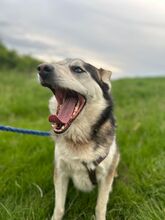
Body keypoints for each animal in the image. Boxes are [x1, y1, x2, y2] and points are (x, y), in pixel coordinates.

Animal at [37, 58, 120, 220]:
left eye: (77, 69)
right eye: (58, 62)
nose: (42, 68)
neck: (79, 138)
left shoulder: (105, 175)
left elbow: (100, 207)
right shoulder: (61, 171)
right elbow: (59, 207)